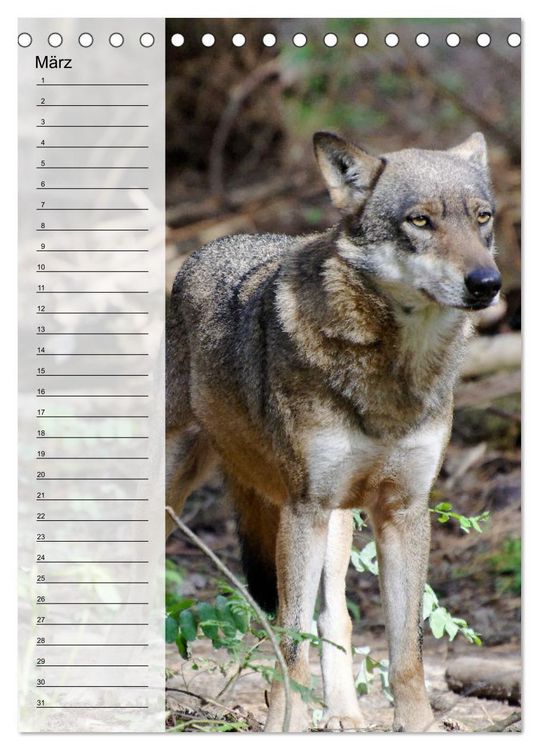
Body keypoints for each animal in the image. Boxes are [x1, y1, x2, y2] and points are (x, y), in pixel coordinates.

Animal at [166, 131, 501, 732]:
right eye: (420, 221)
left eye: (481, 217)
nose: (487, 284)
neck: (393, 374)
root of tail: (206, 248)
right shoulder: (306, 509)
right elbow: (291, 644)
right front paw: (287, 726)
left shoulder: (402, 511)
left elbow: (407, 655)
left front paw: (418, 728)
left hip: (339, 522)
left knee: (335, 618)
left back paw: (344, 714)